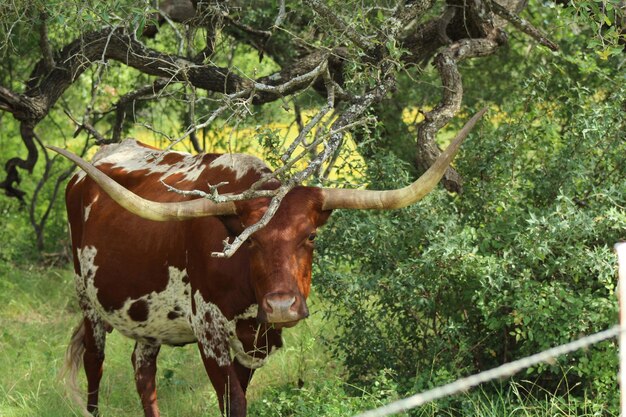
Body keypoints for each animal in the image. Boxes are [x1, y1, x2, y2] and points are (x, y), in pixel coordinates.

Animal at [51, 108, 486, 416]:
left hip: (148, 320)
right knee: (95, 367)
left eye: (310, 236)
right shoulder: (210, 334)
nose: (280, 307)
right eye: (248, 241)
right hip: (86, 299)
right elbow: (234, 403)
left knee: (144, 373)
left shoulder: (254, 341)